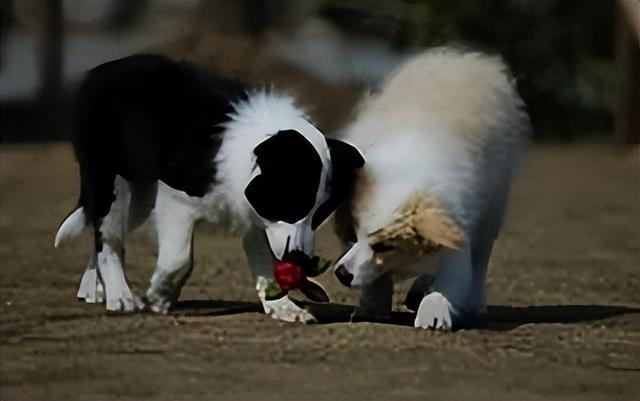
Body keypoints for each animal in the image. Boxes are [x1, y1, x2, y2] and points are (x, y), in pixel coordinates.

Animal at [53, 54, 364, 322]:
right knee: (106, 233)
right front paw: (159, 297)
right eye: (291, 202)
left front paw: (283, 308)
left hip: (138, 199)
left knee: (102, 232)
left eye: (320, 215)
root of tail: (100, 71)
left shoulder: (255, 212)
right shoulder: (175, 198)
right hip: (112, 182)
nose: (299, 258)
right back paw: (120, 296)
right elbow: (179, 258)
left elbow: (265, 261)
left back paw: (94, 289)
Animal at [332, 47, 528, 328]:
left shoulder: (457, 231)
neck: (408, 170)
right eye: (352, 235)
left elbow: (453, 281)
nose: (341, 274)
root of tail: (465, 60)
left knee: (480, 262)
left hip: (493, 210)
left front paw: (433, 312)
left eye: (384, 247)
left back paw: (472, 302)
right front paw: (374, 304)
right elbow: (376, 276)